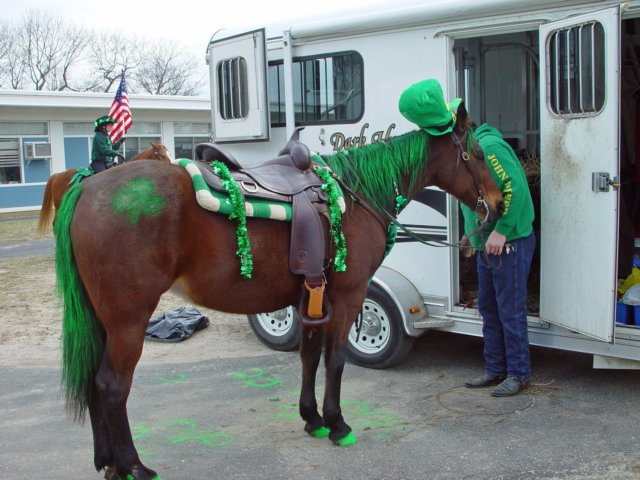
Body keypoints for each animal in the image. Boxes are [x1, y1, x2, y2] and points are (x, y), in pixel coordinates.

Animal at [55, 103, 502, 478]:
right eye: (479, 155)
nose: (499, 204)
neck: (354, 195)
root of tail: (86, 188)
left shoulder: (312, 296)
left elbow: (309, 356)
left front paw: (312, 419)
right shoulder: (349, 296)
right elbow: (335, 359)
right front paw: (337, 423)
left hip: (102, 319)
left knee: (94, 381)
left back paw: (107, 461)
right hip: (129, 319)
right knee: (113, 385)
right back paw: (133, 466)